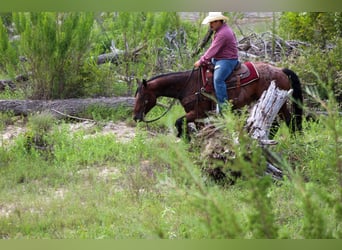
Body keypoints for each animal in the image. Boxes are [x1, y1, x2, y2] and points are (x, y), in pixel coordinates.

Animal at [132, 61, 304, 138]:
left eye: (143, 97)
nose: (135, 117)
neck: (188, 84)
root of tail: (280, 70)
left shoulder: (198, 112)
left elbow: (179, 122)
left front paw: (183, 138)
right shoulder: (198, 116)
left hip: (279, 102)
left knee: (287, 121)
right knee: (283, 122)